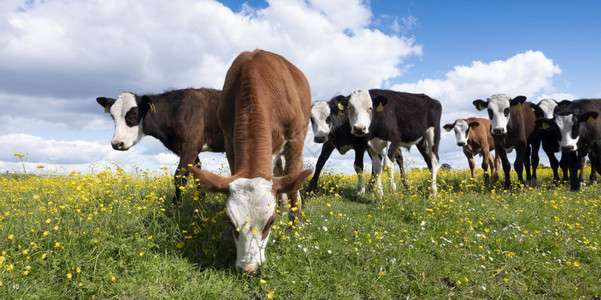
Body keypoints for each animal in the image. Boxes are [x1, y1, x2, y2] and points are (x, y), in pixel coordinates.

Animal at [188, 49, 312, 274]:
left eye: (270, 223)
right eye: (229, 221)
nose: (249, 269)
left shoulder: (296, 137)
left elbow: (293, 177)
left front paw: (295, 224)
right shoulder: (229, 138)